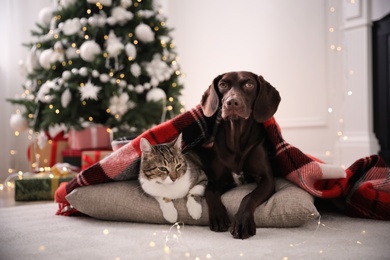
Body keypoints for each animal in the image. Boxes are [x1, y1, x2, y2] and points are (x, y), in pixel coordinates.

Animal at [200, 71, 278, 240]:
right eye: (222, 85)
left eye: (249, 84)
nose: (232, 102)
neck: (236, 139)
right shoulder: (216, 180)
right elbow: (210, 191)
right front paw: (218, 217)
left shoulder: (267, 179)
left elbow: (248, 197)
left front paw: (242, 222)